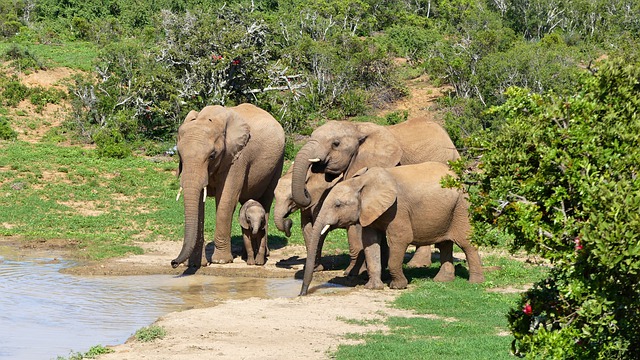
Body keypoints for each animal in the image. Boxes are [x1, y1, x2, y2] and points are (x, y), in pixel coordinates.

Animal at [171, 103, 284, 268]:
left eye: (212, 155)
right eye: (179, 154)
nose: (173, 263)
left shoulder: (237, 158)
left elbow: (226, 199)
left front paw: (221, 261)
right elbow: (199, 203)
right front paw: (195, 265)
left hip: (277, 163)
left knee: (266, 201)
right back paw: (245, 255)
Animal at [300, 163, 484, 296]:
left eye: (338, 205)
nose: (303, 294)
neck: (361, 182)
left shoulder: (398, 209)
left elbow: (400, 240)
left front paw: (397, 286)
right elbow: (370, 243)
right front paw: (373, 288)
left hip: (461, 207)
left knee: (466, 244)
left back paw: (475, 283)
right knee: (445, 244)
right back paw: (442, 281)